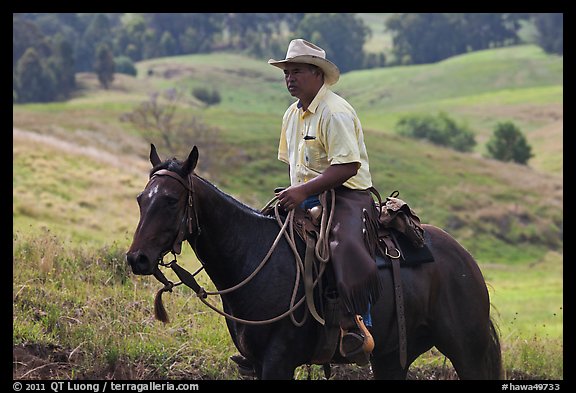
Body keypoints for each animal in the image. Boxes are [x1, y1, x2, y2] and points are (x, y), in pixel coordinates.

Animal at [125, 145, 500, 380]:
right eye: (142, 199)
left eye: (171, 201)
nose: (137, 258)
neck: (253, 256)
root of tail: (464, 259)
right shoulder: (256, 363)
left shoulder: (278, 362)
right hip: (391, 358)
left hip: (466, 349)